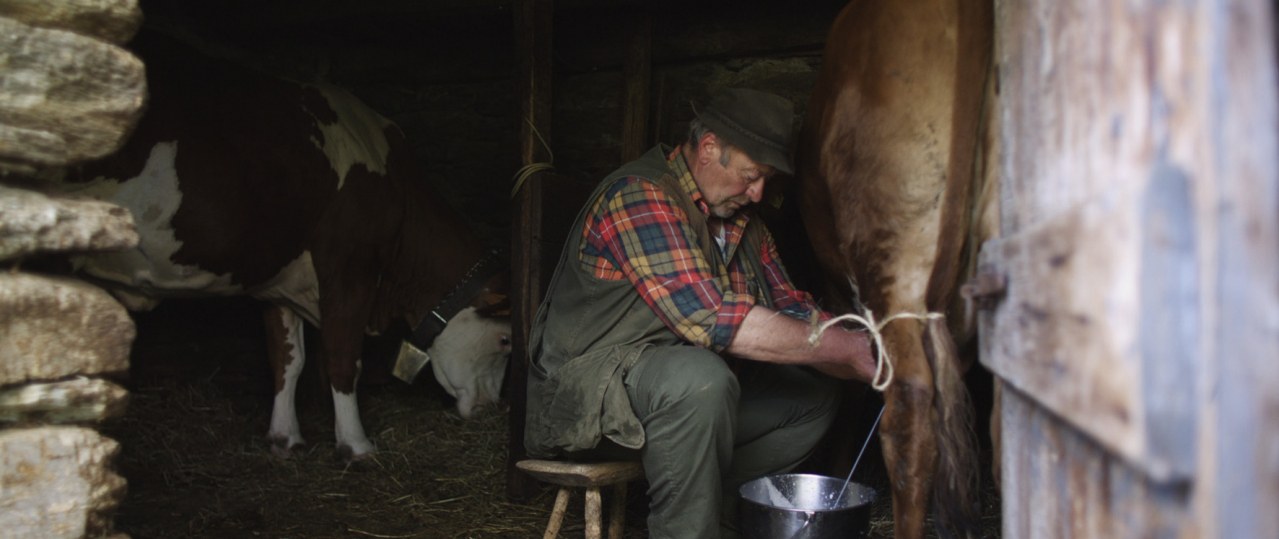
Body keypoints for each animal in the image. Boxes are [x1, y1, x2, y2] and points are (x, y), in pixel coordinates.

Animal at [58, 35, 509, 460]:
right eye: (506, 340)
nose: (492, 407)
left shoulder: (280, 278)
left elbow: (288, 360)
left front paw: (285, 439)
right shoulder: (349, 265)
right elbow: (342, 356)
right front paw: (356, 446)